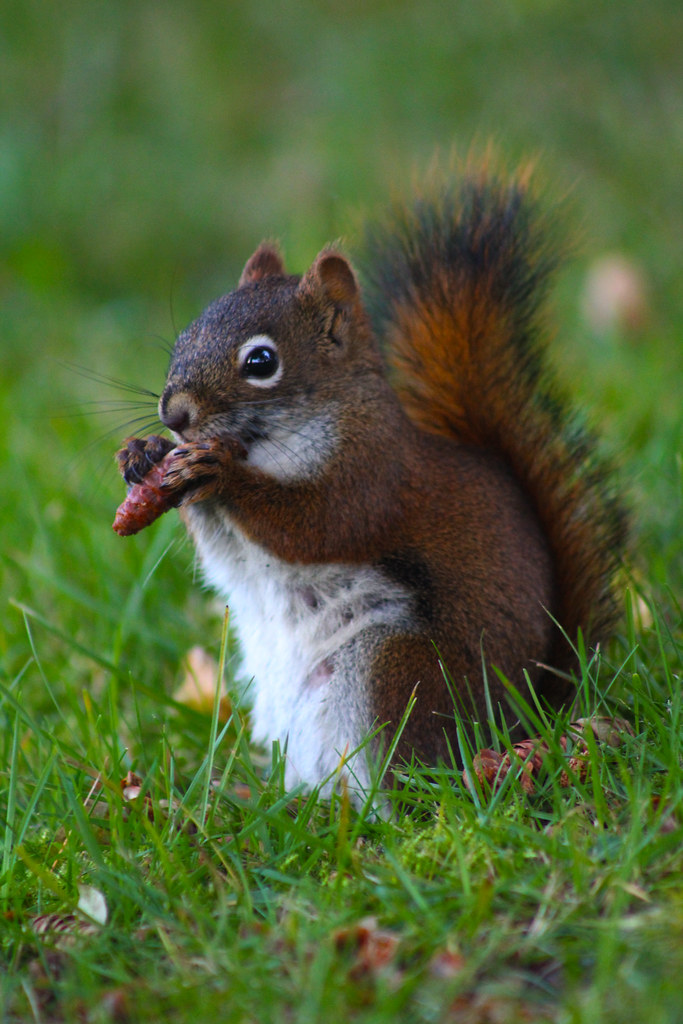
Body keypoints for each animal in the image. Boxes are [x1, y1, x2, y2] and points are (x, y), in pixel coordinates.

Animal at [115, 165, 626, 796]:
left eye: (261, 362)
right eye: (185, 336)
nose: (174, 414)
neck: (271, 443)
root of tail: (527, 715)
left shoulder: (373, 476)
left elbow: (313, 525)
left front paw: (223, 476)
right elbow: (221, 547)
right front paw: (145, 454)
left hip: (393, 669)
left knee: (408, 781)